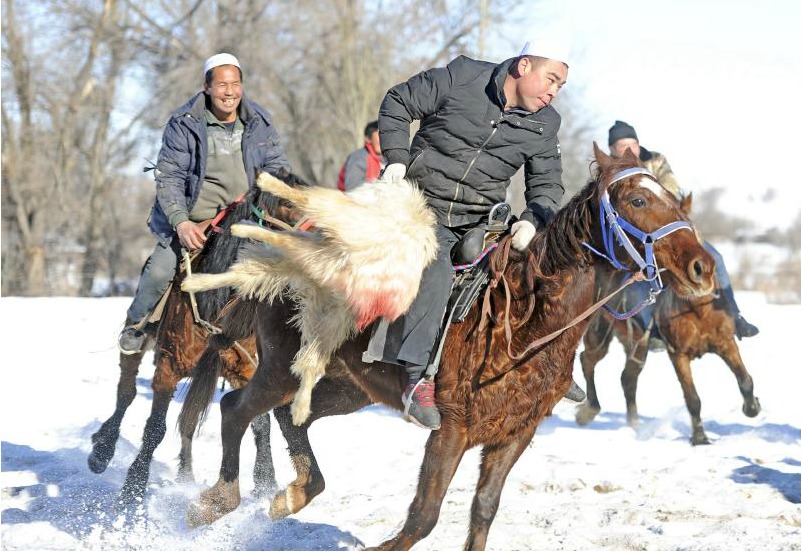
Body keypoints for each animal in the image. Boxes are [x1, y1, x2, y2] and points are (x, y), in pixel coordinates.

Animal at [84, 175, 304, 506]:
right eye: (288, 203)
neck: (218, 303)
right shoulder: (167, 369)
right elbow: (155, 428)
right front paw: (133, 487)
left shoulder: (245, 371)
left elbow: (259, 423)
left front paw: (265, 481)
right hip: (138, 339)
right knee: (126, 392)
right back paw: (102, 450)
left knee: (186, 421)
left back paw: (185, 474)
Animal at [177, 144, 712, 548]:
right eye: (637, 201)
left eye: (672, 196)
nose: (702, 268)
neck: (524, 320)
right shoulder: (450, 429)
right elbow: (424, 515)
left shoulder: (514, 434)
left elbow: (483, 510)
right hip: (282, 369)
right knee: (234, 408)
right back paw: (213, 503)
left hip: (349, 388)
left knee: (291, 418)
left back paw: (292, 495)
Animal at [576, 264, 756, 444]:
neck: (698, 309)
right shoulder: (678, 355)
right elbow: (692, 398)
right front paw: (699, 438)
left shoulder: (726, 344)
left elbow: (745, 380)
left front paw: (752, 408)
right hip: (600, 334)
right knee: (587, 361)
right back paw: (588, 411)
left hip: (637, 345)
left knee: (627, 378)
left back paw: (634, 425)